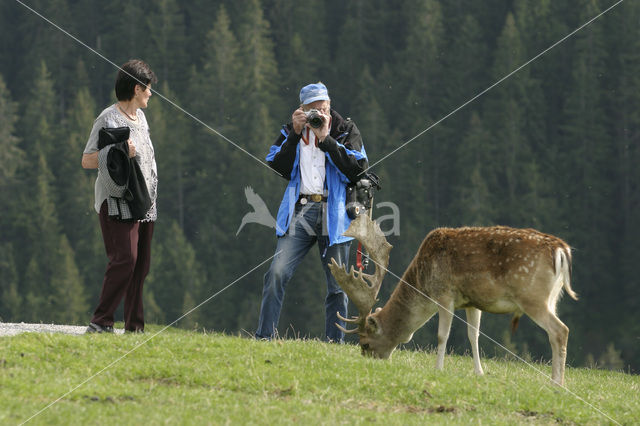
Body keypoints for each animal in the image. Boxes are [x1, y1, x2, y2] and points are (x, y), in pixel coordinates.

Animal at [330, 215, 580, 384]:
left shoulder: (444, 294)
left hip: (532, 297)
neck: (423, 282)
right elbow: (473, 335)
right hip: (552, 298)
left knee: (561, 330)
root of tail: (561, 250)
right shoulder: (472, 303)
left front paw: (438, 369)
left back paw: (557, 383)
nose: (371, 362)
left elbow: (442, 335)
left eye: (365, 343)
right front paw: (479, 372)